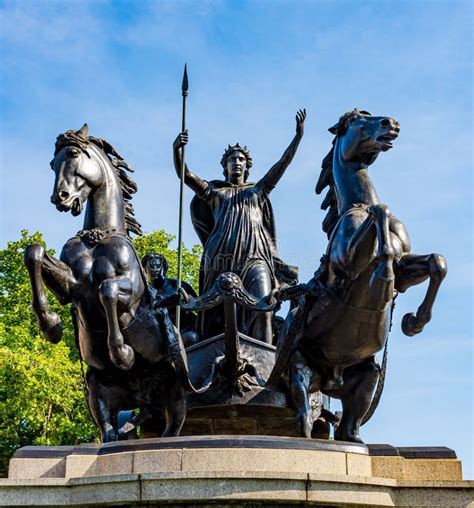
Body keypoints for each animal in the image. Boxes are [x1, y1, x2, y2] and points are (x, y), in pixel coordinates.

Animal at [23, 126, 194, 440]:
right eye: (52, 164)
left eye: (74, 154)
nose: (60, 198)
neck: (98, 237)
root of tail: (142, 399)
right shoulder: (72, 286)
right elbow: (35, 252)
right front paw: (51, 325)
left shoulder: (131, 291)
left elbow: (107, 290)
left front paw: (123, 353)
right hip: (98, 392)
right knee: (110, 431)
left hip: (175, 396)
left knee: (170, 429)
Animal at [268, 109, 446, 442]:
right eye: (353, 120)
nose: (392, 124)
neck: (358, 204)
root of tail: (329, 380)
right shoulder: (347, 261)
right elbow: (381, 212)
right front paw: (383, 276)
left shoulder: (406, 269)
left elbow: (436, 263)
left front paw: (413, 322)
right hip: (298, 366)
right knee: (304, 408)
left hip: (367, 375)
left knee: (349, 426)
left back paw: (354, 438)